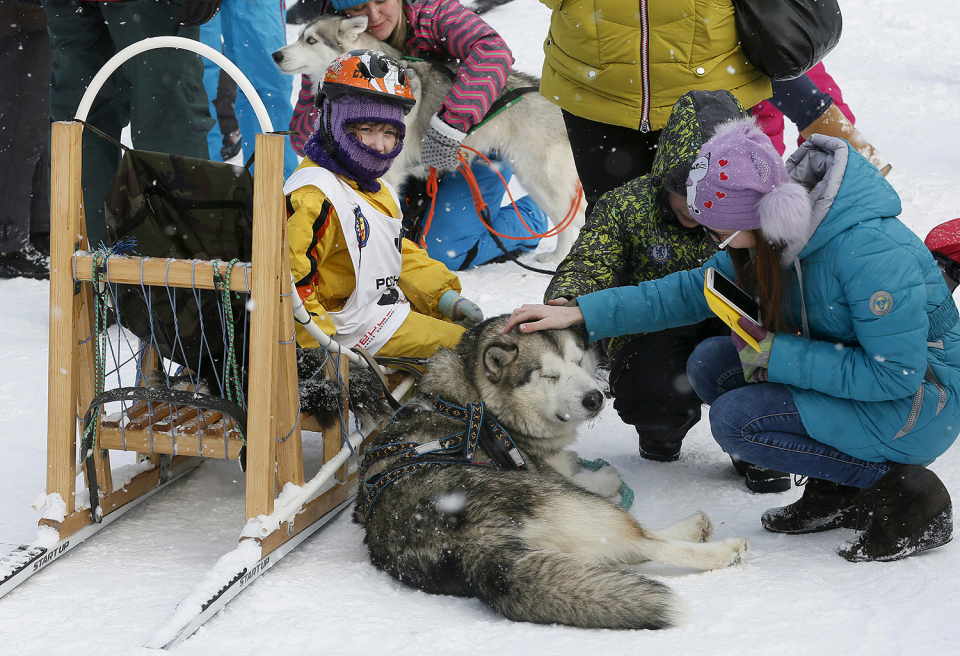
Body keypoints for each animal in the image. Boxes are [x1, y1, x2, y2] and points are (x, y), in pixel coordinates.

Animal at [273, 15, 586, 263]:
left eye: (311, 40)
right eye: (299, 36)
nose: (275, 55)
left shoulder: (388, 173)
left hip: (540, 180)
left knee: (571, 220)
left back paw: (556, 258)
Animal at [352, 315, 749, 629]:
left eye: (579, 361)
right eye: (550, 376)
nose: (595, 398)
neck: (477, 399)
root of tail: (472, 547)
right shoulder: (551, 473)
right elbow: (593, 476)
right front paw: (602, 474)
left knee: (632, 549)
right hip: (575, 504)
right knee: (645, 542)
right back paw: (716, 545)